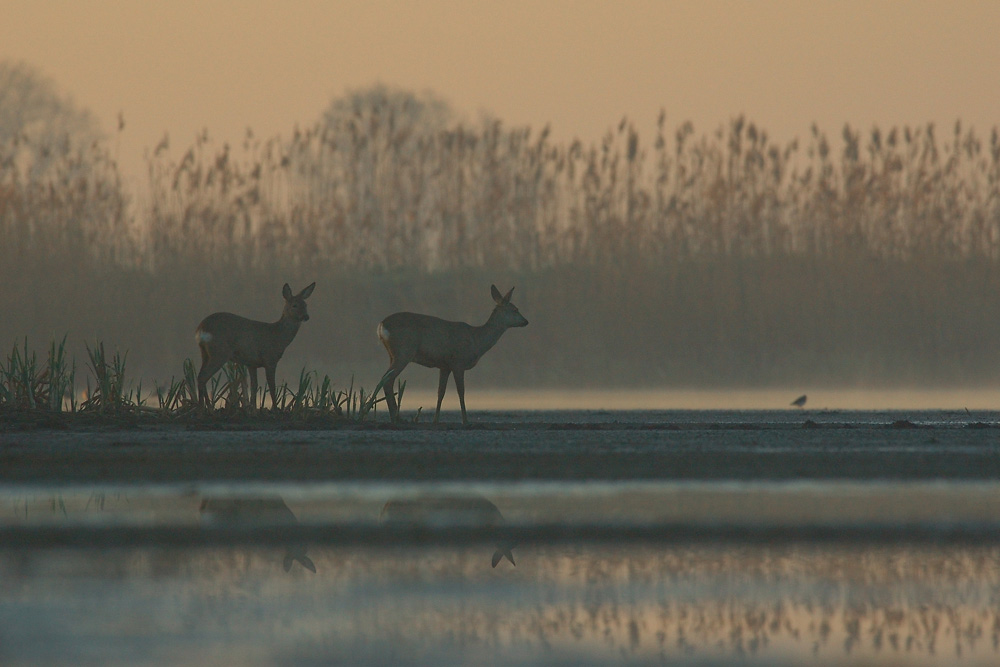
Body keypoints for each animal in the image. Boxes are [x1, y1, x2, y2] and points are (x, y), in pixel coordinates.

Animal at [196, 280, 316, 410]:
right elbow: (272, 386)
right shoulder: (270, 359)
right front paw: (275, 408)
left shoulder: (251, 363)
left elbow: (254, 386)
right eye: (294, 305)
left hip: (205, 353)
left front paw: (252, 407)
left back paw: (205, 406)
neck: (278, 337)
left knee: (200, 376)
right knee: (203, 377)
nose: (306, 316)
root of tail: (201, 327)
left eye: (305, 305)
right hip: (219, 352)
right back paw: (204, 407)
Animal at [376, 286, 528, 422]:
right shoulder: (458, 362)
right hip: (404, 352)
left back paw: (396, 417)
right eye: (515, 310)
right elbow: (461, 391)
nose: (526, 321)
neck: (476, 340)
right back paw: (396, 417)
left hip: (392, 354)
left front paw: (436, 420)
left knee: (388, 379)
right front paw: (465, 420)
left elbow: (440, 392)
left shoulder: (445, 366)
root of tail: (381, 325)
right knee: (386, 379)